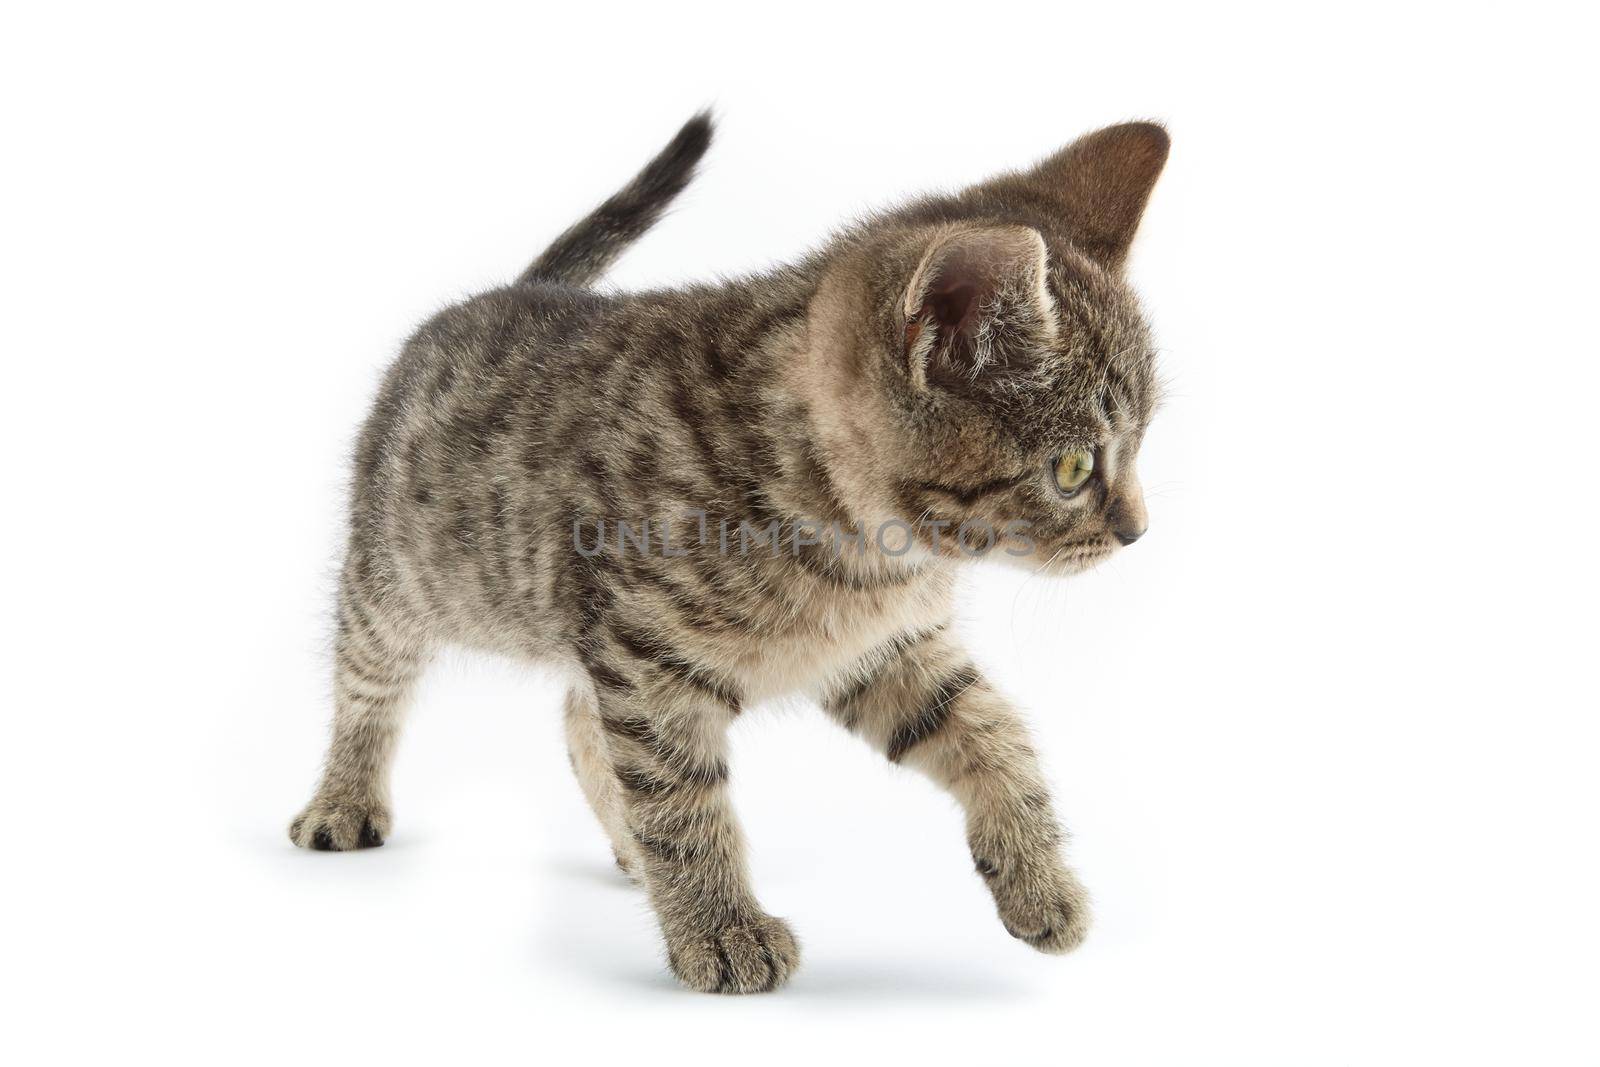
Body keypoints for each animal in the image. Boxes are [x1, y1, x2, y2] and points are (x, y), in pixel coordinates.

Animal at [291, 112, 1164, 998]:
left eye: (1138, 446)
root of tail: (516, 289)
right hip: (394, 576)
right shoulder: (645, 658)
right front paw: (718, 927)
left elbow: (994, 730)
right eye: (1073, 469)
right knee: (369, 682)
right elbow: (679, 795)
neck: (864, 549)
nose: (1139, 529)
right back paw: (343, 799)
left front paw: (1040, 877)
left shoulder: (879, 649)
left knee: (578, 718)